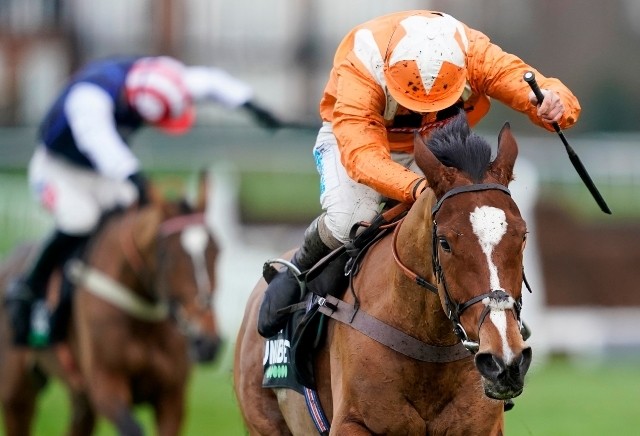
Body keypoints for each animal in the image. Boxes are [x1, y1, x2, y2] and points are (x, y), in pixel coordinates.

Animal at [0, 172, 221, 436]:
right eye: (166, 255)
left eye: (217, 250)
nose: (207, 342)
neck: (142, 320)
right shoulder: (105, 387)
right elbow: (132, 427)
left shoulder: (172, 396)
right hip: (17, 393)